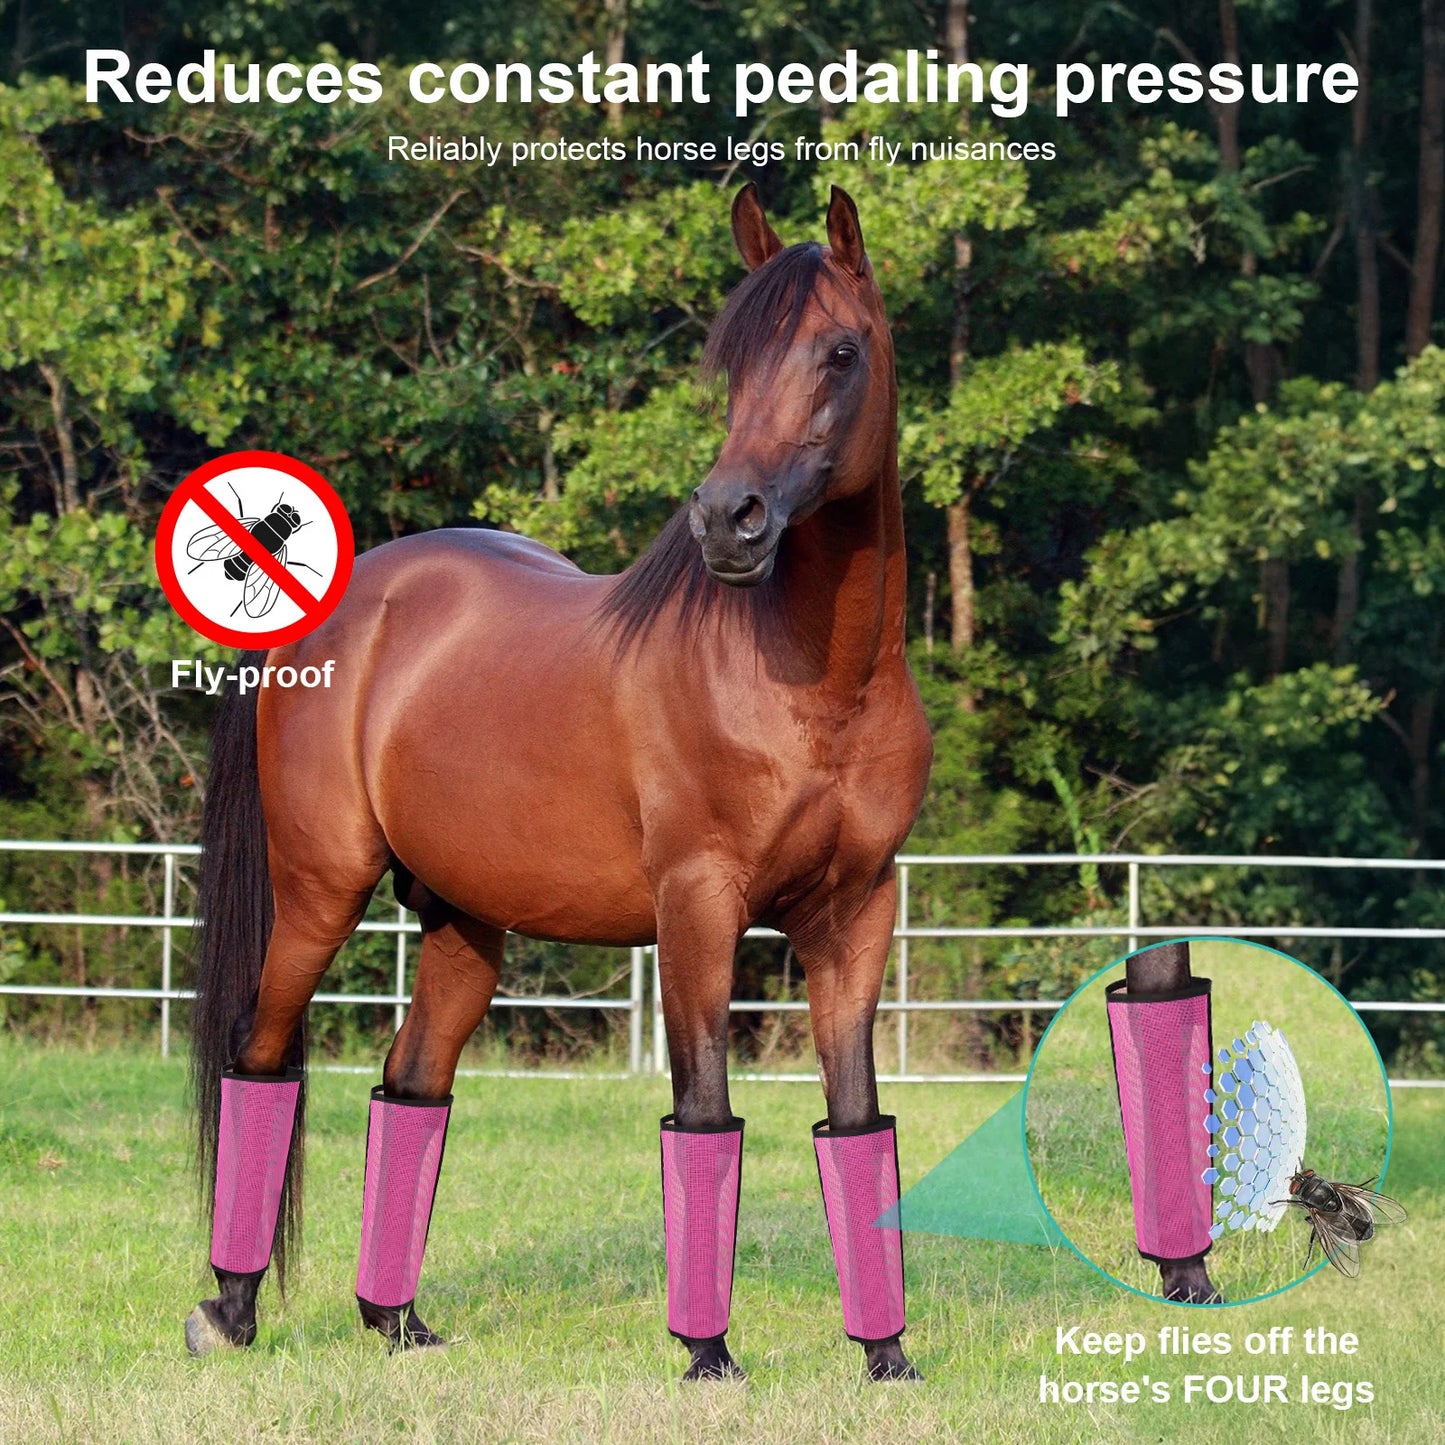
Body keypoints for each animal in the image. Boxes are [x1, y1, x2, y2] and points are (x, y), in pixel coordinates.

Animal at [186, 183, 933, 1382]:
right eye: (733, 363)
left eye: (839, 351)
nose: (728, 519)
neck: (816, 683)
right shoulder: (697, 905)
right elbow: (703, 1114)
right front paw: (708, 1357)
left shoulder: (857, 910)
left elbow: (856, 1123)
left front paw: (886, 1358)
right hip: (320, 890)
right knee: (259, 1057)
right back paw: (231, 1308)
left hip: (461, 920)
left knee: (411, 1082)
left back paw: (398, 1322)